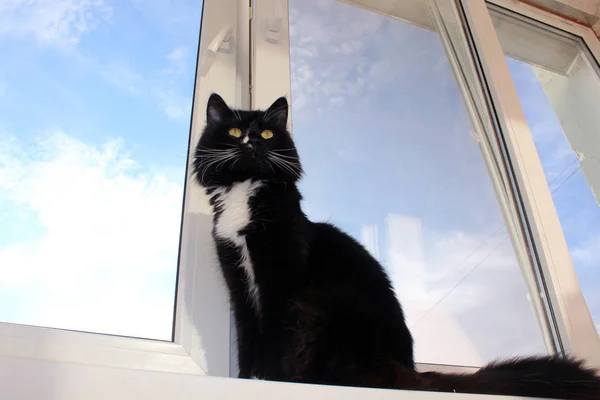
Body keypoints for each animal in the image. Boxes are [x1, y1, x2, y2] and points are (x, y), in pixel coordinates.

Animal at [192, 92, 600, 398]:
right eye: (234, 130)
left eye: (266, 135)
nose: (250, 142)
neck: (245, 194)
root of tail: (410, 372)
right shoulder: (239, 284)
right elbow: (248, 336)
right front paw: (245, 380)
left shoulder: (282, 285)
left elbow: (273, 338)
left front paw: (271, 379)